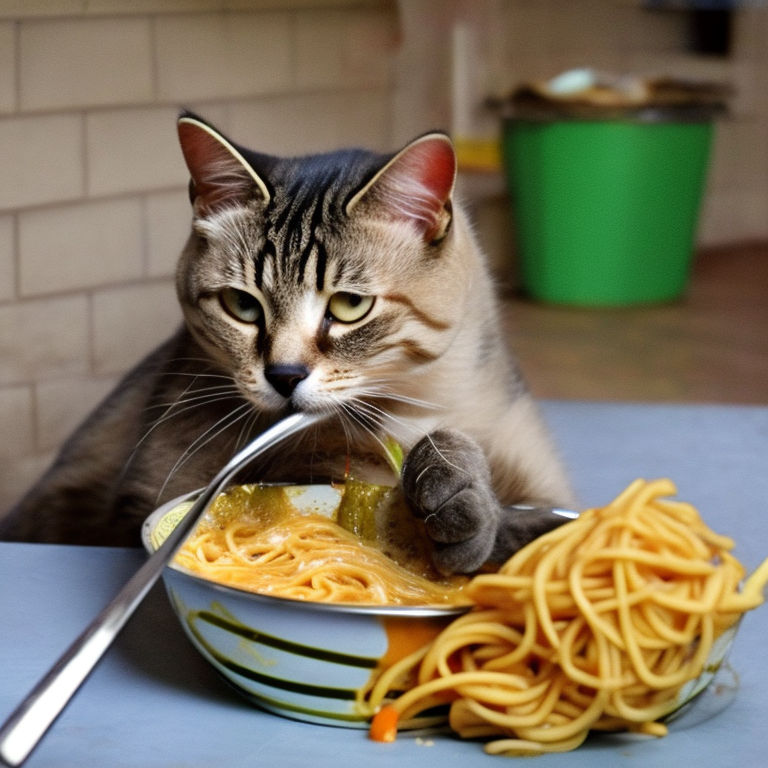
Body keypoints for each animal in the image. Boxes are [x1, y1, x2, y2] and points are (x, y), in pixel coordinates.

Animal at [0, 111, 576, 572]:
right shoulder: (179, 475)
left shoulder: (539, 479)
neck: (423, 402)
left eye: (349, 306)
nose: (284, 375)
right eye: (242, 305)